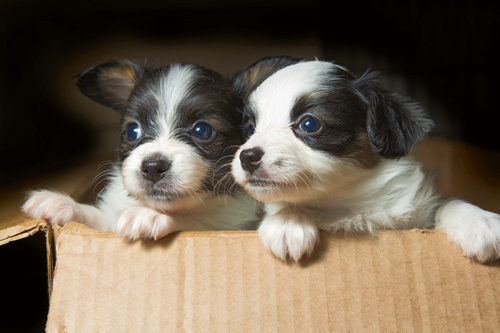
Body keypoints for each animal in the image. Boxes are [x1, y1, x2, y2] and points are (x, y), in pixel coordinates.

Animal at [23, 59, 260, 239]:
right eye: (132, 131)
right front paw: (62, 204)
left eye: (202, 130)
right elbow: (99, 218)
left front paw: (149, 215)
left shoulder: (231, 224)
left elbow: (197, 220)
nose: (153, 167)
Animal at [230, 55, 500, 262]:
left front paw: (478, 221)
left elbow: (446, 203)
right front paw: (287, 221)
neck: (343, 203)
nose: (248, 156)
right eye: (250, 130)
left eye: (309, 124)